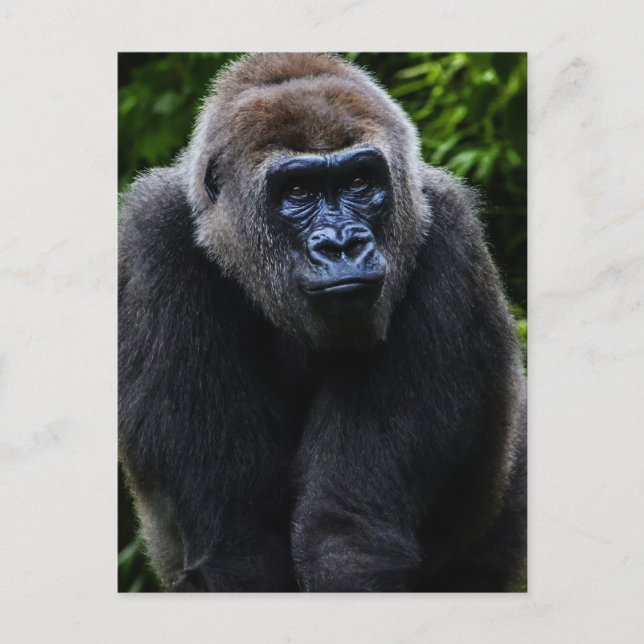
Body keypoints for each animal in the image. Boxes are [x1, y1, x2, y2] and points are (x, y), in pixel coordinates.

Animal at [118, 53, 527, 592]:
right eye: (298, 191)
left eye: (358, 183)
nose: (342, 245)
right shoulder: (155, 239)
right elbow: (238, 544)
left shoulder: (447, 231)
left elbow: (346, 536)